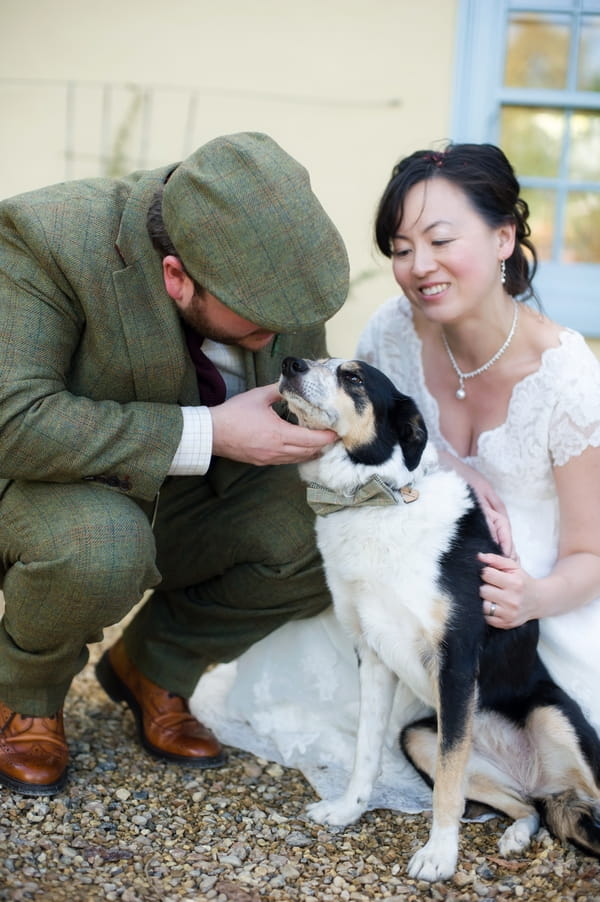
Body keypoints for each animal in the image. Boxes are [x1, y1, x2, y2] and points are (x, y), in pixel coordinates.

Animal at [278, 354, 600, 884]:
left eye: (353, 377)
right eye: (319, 362)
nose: (289, 364)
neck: (374, 503)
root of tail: (545, 781)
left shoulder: (455, 662)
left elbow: (447, 787)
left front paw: (439, 856)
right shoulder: (372, 656)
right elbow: (365, 752)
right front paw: (347, 810)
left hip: (553, 717)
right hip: (420, 736)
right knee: (527, 804)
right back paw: (516, 833)